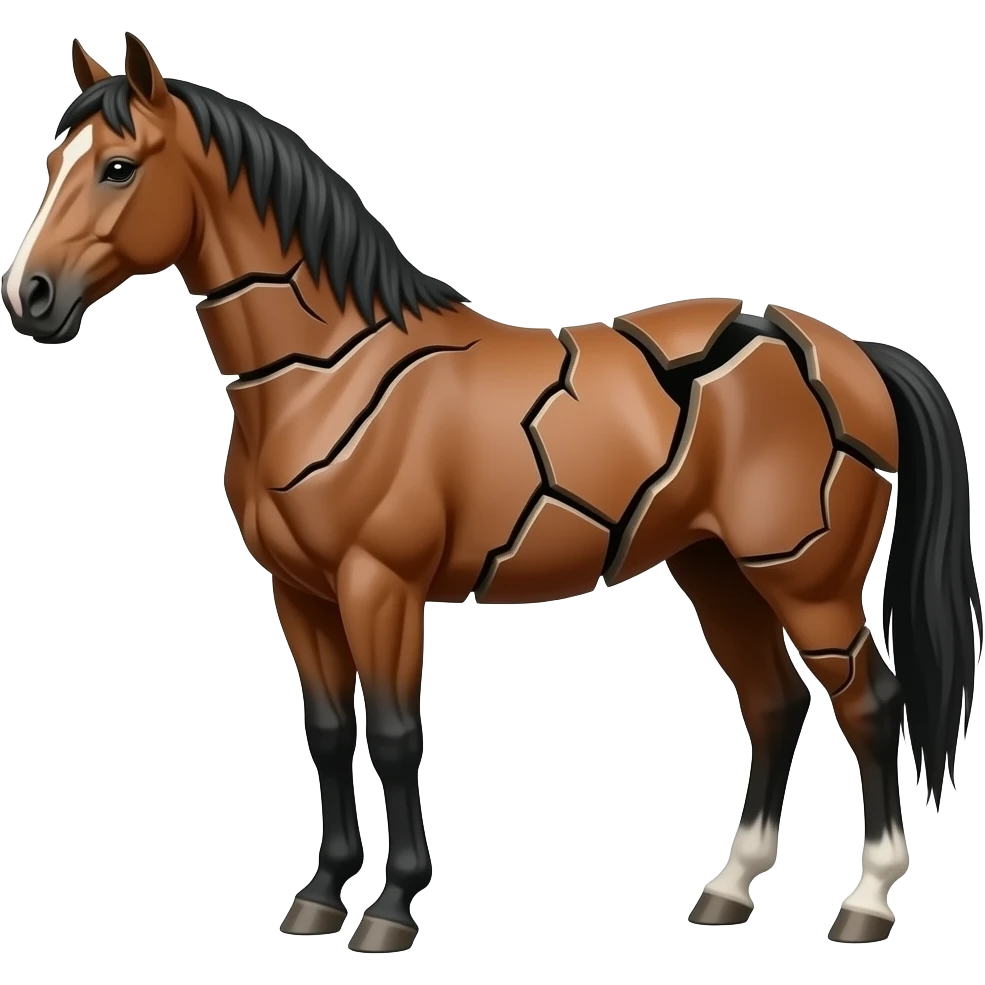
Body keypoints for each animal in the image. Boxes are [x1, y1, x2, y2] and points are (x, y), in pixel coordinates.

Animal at [2, 34, 980, 952]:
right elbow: (328, 730)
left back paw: (866, 900)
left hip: (803, 578)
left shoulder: (380, 585)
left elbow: (395, 734)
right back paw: (728, 888)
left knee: (868, 704)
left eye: (119, 167)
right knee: (772, 702)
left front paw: (391, 906)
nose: (30, 296)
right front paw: (321, 893)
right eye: (53, 164)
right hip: (717, 571)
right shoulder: (299, 592)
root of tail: (849, 352)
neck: (327, 373)